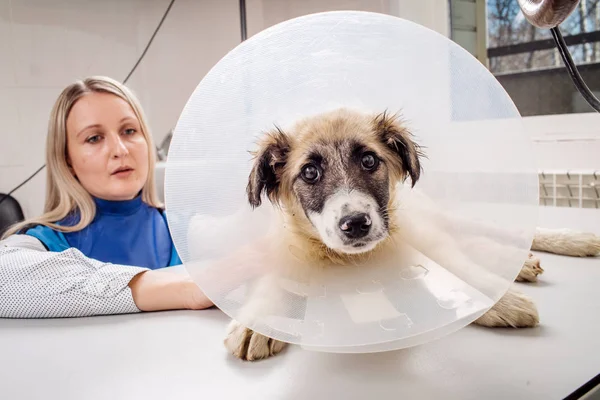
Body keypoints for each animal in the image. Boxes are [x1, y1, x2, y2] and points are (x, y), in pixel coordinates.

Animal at [221, 108, 600, 360]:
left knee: (493, 236)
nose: (355, 223)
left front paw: (501, 303)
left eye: (369, 161)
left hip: (439, 223)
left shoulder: (421, 245)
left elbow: (462, 272)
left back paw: (567, 243)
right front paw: (255, 322)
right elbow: (274, 282)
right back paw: (523, 265)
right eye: (310, 172)